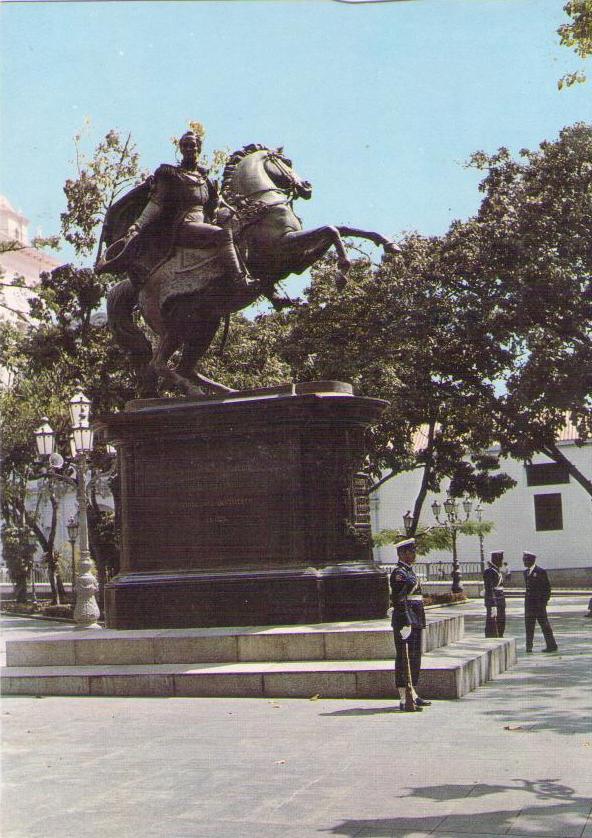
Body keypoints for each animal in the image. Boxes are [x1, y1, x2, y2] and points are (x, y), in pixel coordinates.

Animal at [106, 143, 398, 398]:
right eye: (286, 162)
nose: (306, 186)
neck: (261, 206)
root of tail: (139, 285)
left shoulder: (296, 259)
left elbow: (341, 228)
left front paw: (387, 244)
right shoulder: (285, 246)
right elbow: (331, 229)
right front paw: (342, 271)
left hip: (205, 324)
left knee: (185, 367)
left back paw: (230, 391)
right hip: (174, 328)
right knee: (159, 364)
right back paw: (194, 392)